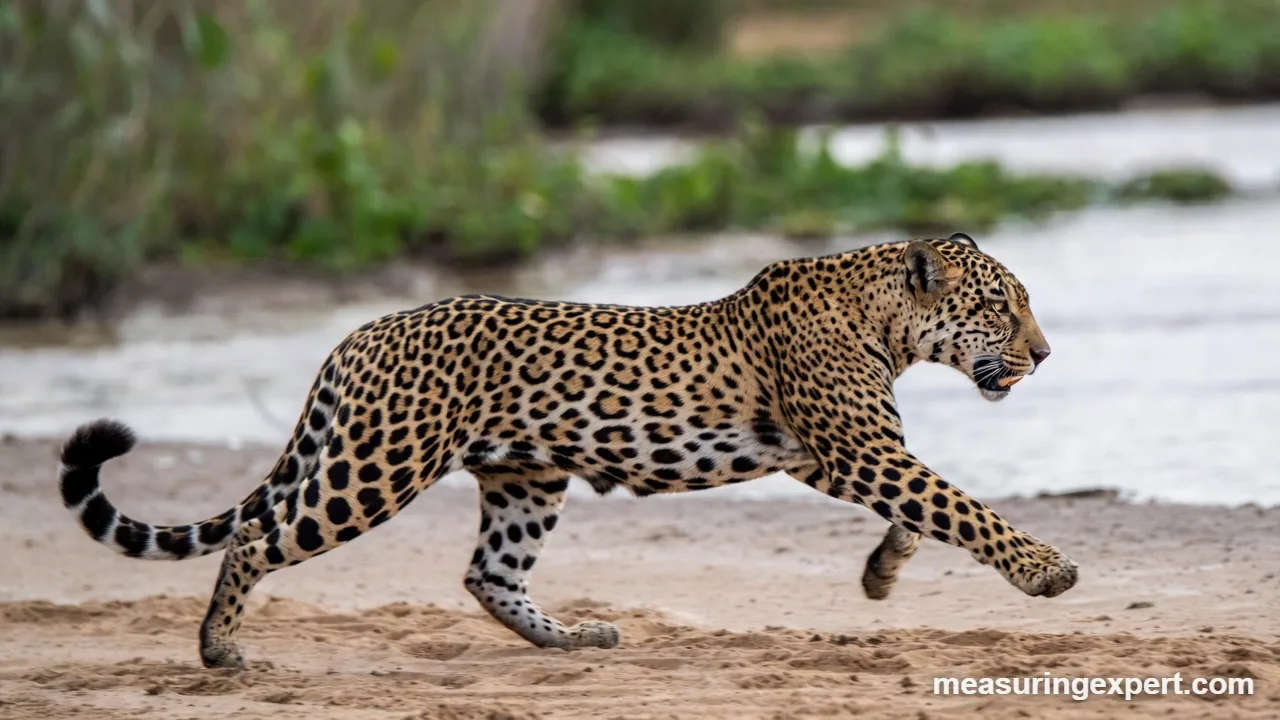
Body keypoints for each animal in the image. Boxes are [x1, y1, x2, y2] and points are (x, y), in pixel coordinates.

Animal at [56, 232, 1077, 670]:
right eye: (1000, 305)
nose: (1043, 355)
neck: (886, 318)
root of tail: (357, 334)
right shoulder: (857, 448)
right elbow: (959, 503)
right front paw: (1045, 570)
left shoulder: (838, 454)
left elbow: (922, 507)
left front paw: (880, 572)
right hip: (375, 466)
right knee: (255, 537)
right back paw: (219, 648)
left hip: (526, 476)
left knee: (488, 574)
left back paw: (576, 638)